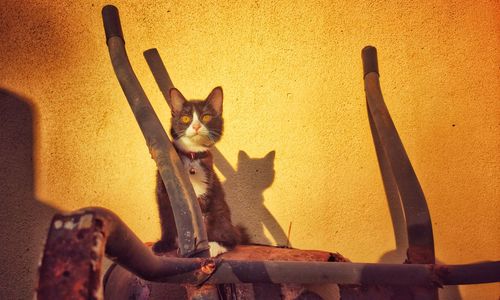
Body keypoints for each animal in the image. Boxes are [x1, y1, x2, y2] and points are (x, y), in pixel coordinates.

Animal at [151, 87, 247, 258]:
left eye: (206, 117)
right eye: (185, 118)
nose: (196, 126)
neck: (192, 156)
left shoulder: (206, 189)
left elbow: (199, 219)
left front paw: (199, 248)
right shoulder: (163, 191)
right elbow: (166, 219)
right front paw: (164, 244)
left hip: (221, 214)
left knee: (232, 237)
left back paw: (215, 246)